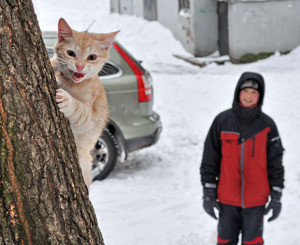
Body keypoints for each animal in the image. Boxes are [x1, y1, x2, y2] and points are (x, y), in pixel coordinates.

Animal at [50, 18, 118, 189]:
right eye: (71, 53)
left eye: (91, 57)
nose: (79, 66)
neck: (70, 81)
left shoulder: (90, 117)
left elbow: (80, 110)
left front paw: (66, 100)